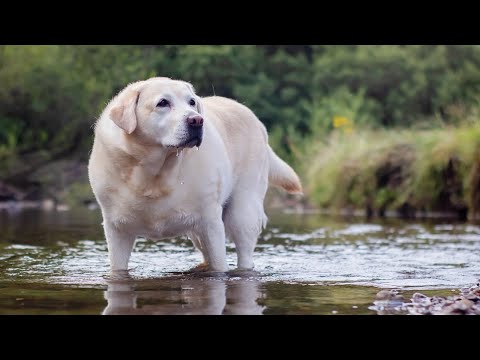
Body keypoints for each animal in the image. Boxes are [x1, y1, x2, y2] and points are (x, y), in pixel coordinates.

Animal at [88, 76, 302, 272]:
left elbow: (219, 267)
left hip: (243, 212)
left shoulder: (211, 222)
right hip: (198, 232)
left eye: (191, 102)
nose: (197, 120)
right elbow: (117, 267)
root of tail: (256, 120)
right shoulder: (117, 229)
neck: (155, 174)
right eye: (162, 103)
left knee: (245, 253)